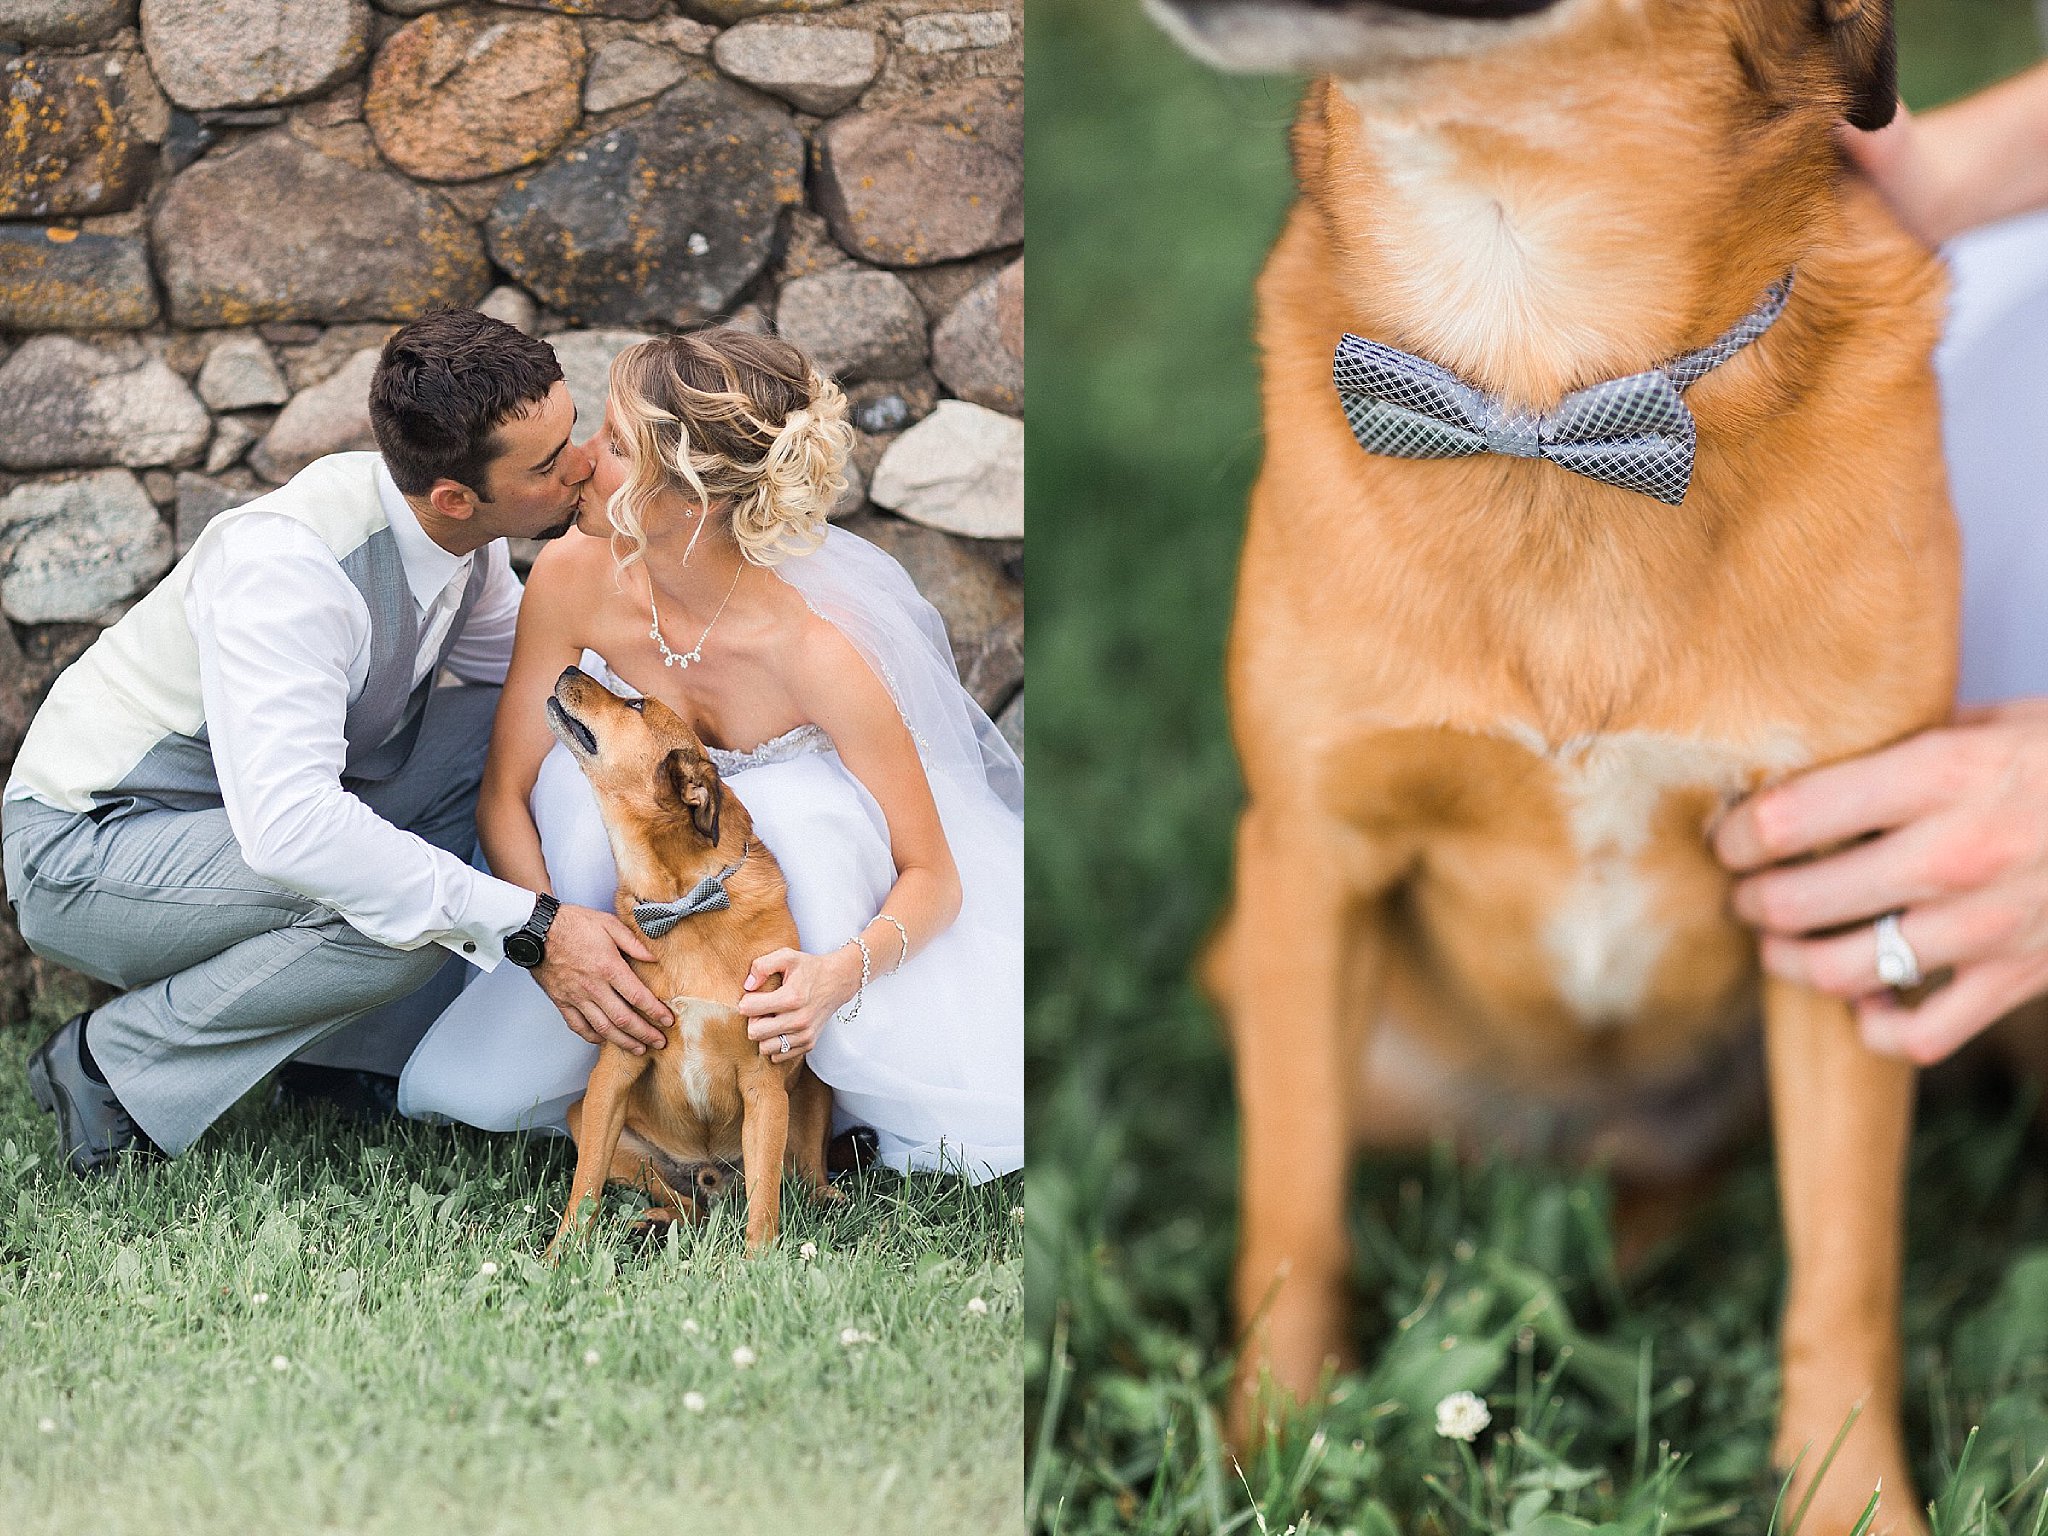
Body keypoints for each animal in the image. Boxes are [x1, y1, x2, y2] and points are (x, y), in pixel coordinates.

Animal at [544, 667, 839, 1253]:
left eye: (634, 704)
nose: (567, 669)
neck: (682, 904)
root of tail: (709, 1172)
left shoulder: (764, 1085)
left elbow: (764, 1204)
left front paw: (758, 1264)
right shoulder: (614, 1072)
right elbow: (583, 1189)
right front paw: (559, 1256)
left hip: (810, 1094)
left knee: (799, 1181)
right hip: (594, 1122)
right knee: (682, 1203)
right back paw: (653, 1221)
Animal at [1163, 6, 1957, 1531]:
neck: (1537, 382)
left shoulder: (1837, 890)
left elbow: (1845, 1275)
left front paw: (1851, 1501)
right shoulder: (1311, 864)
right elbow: (1290, 1215)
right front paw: (1270, 1455)